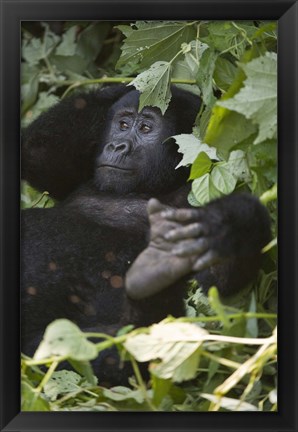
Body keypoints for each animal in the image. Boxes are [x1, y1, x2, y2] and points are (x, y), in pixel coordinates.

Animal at [21, 83, 272, 384]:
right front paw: (120, 87)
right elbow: (38, 154)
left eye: (145, 128)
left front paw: (230, 228)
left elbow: (216, 285)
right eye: (123, 124)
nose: (117, 145)